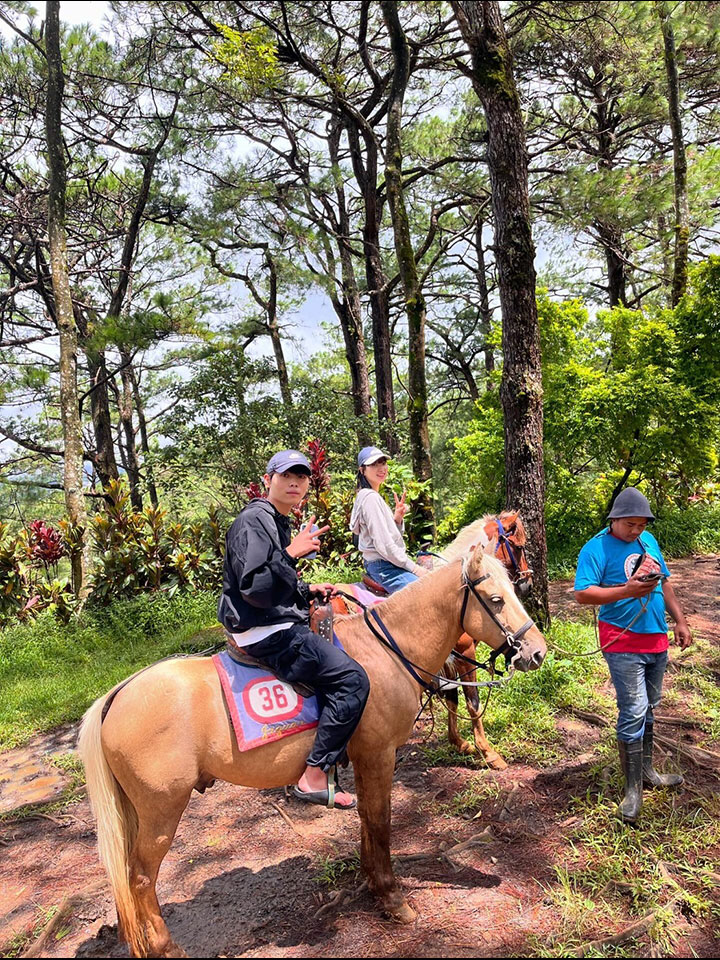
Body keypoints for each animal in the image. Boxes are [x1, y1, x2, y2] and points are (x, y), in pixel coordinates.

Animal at [79, 548, 544, 960]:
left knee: (125, 877)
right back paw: (166, 947)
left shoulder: (363, 757)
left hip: (135, 810)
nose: (536, 651)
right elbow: (380, 821)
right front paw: (392, 897)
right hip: (162, 809)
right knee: (141, 878)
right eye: (496, 599)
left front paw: (373, 884)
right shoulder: (379, 754)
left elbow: (366, 819)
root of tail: (116, 696)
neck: (385, 652)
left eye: (514, 590)